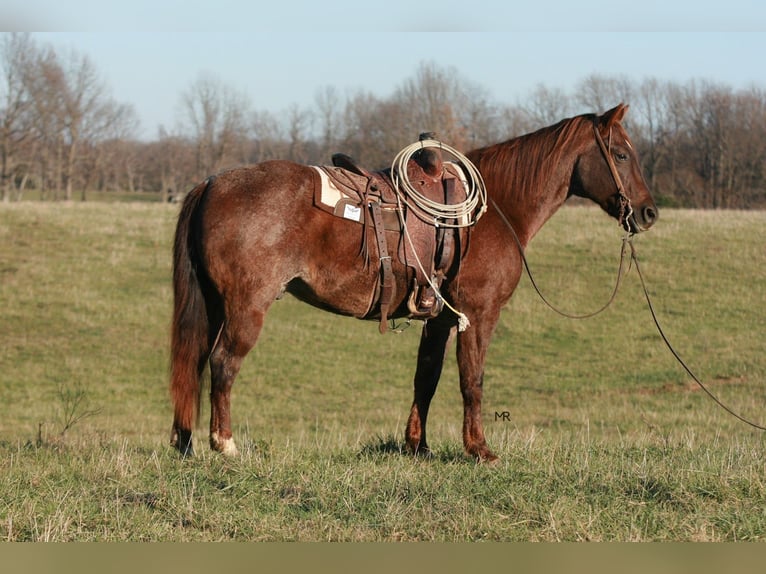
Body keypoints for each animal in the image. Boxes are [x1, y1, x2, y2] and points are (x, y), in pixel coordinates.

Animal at [169, 103, 658, 462]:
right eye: (621, 154)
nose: (649, 212)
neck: (495, 210)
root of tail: (212, 183)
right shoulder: (478, 314)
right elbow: (472, 380)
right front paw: (479, 449)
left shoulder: (439, 319)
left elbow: (427, 377)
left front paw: (417, 446)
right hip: (246, 308)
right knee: (223, 364)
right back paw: (225, 444)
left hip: (214, 305)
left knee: (195, 362)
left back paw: (185, 442)